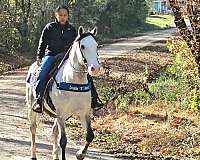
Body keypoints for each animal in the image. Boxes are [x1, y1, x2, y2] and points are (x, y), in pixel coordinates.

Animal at [25, 26, 101, 160]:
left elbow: (90, 136)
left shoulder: (84, 113)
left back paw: (55, 155)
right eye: (82, 46)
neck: (73, 80)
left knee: (54, 131)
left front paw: (80, 154)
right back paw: (33, 155)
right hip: (32, 109)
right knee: (33, 129)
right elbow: (63, 141)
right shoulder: (61, 114)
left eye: (96, 45)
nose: (95, 68)